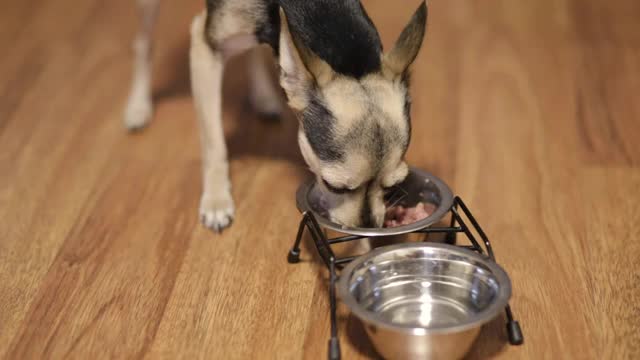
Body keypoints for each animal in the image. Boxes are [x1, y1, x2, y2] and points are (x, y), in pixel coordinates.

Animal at [122, 0, 428, 232]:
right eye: (335, 187)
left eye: (394, 185)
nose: (368, 228)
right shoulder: (205, 47)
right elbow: (214, 144)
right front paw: (217, 200)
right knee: (143, 43)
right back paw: (138, 106)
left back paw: (263, 96)